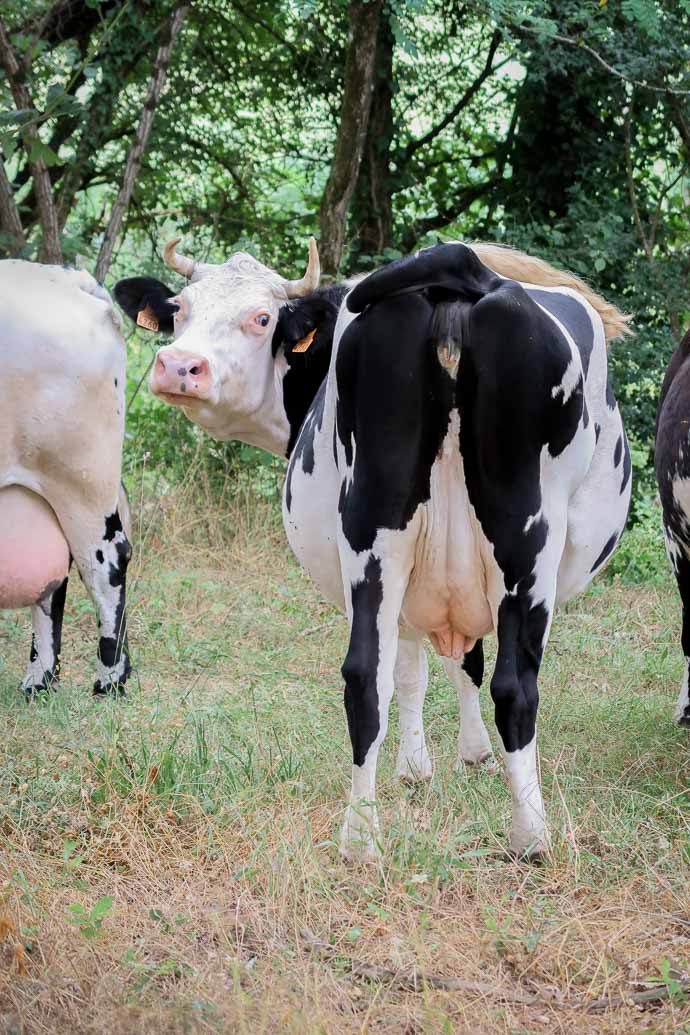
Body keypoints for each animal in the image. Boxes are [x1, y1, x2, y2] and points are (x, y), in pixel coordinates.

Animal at [1, 260, 132, 695]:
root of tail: (68, 279)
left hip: (82, 478)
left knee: (106, 562)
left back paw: (109, 681)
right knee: (53, 579)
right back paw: (39, 681)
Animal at [114, 238, 633, 861]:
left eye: (261, 319)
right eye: (181, 309)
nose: (178, 367)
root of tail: (462, 262)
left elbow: (426, 667)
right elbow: (446, 665)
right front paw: (449, 760)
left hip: (376, 533)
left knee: (365, 680)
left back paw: (361, 839)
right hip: (520, 546)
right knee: (514, 686)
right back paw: (530, 836)